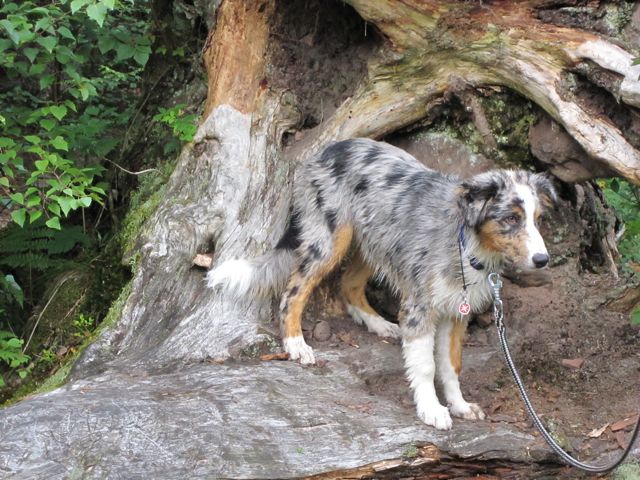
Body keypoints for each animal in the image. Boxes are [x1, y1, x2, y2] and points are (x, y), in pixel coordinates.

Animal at [209, 137, 556, 430]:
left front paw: (459, 405)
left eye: (537, 219)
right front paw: (431, 410)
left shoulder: (457, 311)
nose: (542, 260)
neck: (467, 242)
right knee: (293, 291)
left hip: (373, 241)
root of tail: (331, 148)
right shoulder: (419, 308)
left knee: (348, 285)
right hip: (332, 238)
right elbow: (426, 366)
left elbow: (451, 365)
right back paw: (296, 344)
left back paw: (379, 324)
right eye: (510, 218)